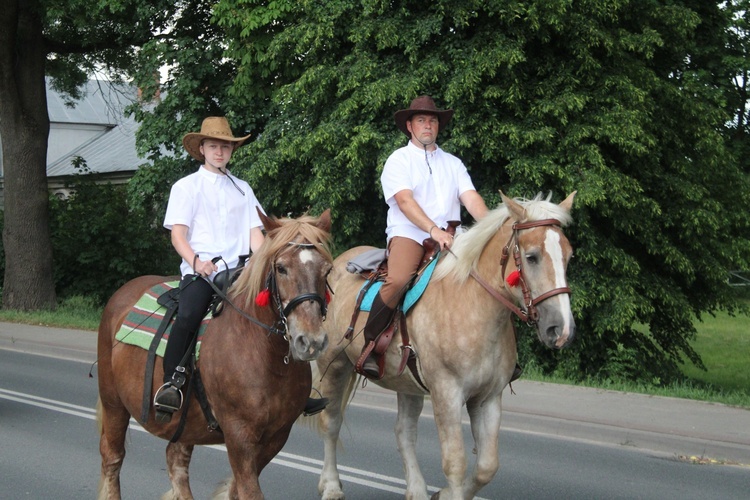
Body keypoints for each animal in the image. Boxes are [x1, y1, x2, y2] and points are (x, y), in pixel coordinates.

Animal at [98, 209, 334, 498]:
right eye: (281, 268)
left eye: (327, 270)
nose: (310, 341)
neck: (266, 356)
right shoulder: (239, 435)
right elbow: (248, 491)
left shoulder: (276, 436)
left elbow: (236, 490)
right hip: (113, 403)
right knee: (113, 458)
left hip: (186, 424)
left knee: (175, 461)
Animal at [312, 193, 576, 498]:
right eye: (532, 257)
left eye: (568, 255)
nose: (561, 329)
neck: (472, 306)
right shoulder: (447, 394)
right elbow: (455, 463)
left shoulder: (488, 398)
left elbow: (486, 465)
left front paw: (445, 493)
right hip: (334, 365)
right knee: (331, 422)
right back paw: (331, 485)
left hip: (406, 383)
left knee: (404, 432)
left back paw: (416, 490)